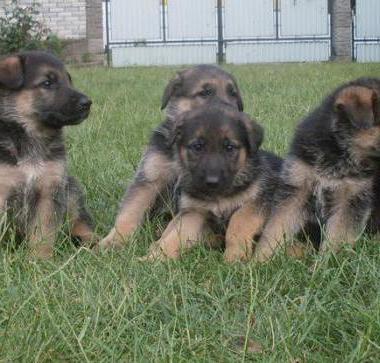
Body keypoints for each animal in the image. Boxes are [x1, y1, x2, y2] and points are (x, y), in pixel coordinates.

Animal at [0, 51, 95, 258]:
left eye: (69, 80)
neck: (33, 137)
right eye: (47, 83)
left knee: (81, 220)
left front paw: (39, 259)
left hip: (71, 190)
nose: (87, 103)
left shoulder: (49, 190)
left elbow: (43, 232)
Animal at [140, 104, 282, 262]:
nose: (212, 182)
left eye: (229, 147)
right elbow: (176, 234)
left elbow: (238, 223)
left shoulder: (256, 202)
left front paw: (235, 255)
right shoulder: (195, 212)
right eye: (197, 146)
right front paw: (156, 257)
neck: (219, 196)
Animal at [254, 78, 380, 264]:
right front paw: (259, 261)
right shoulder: (296, 189)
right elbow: (276, 228)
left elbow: (337, 237)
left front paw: (326, 265)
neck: (338, 151)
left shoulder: (351, 200)